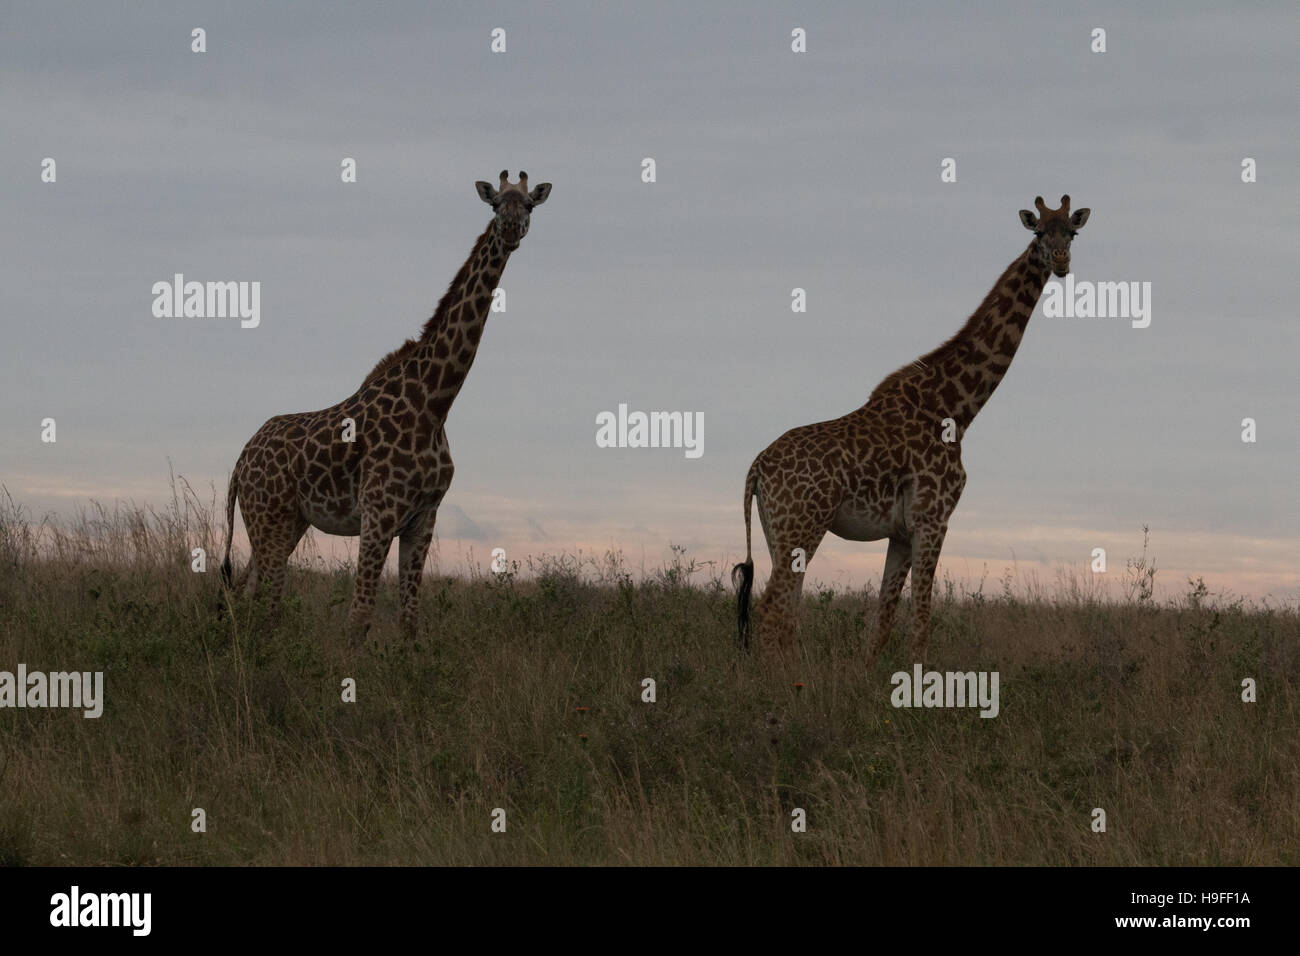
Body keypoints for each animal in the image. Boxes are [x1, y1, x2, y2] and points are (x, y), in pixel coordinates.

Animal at [223, 174, 548, 647]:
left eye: (528, 205)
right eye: (495, 205)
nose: (509, 228)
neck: (434, 403)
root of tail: (240, 462)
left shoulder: (423, 518)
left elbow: (410, 621)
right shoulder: (378, 514)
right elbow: (359, 617)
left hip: (285, 521)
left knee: (249, 593)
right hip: (269, 517)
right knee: (266, 599)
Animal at [733, 193, 1086, 658]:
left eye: (1073, 232)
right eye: (1040, 232)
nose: (1061, 262)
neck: (956, 408)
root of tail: (757, 467)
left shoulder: (900, 532)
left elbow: (881, 624)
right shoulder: (933, 519)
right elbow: (920, 620)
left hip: (777, 531)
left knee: (784, 612)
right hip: (801, 526)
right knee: (772, 608)